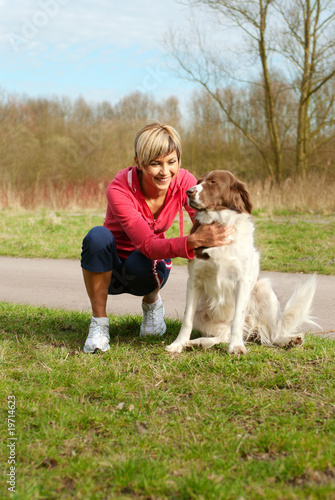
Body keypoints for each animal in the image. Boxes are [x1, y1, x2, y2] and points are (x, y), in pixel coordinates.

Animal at [167, 171, 318, 356]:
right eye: (198, 181)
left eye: (213, 182)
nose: (189, 192)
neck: (220, 222)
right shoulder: (194, 281)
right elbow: (186, 318)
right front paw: (178, 344)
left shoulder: (242, 281)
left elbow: (237, 319)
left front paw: (236, 346)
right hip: (202, 315)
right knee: (222, 335)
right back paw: (198, 342)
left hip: (264, 289)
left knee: (272, 333)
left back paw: (289, 340)